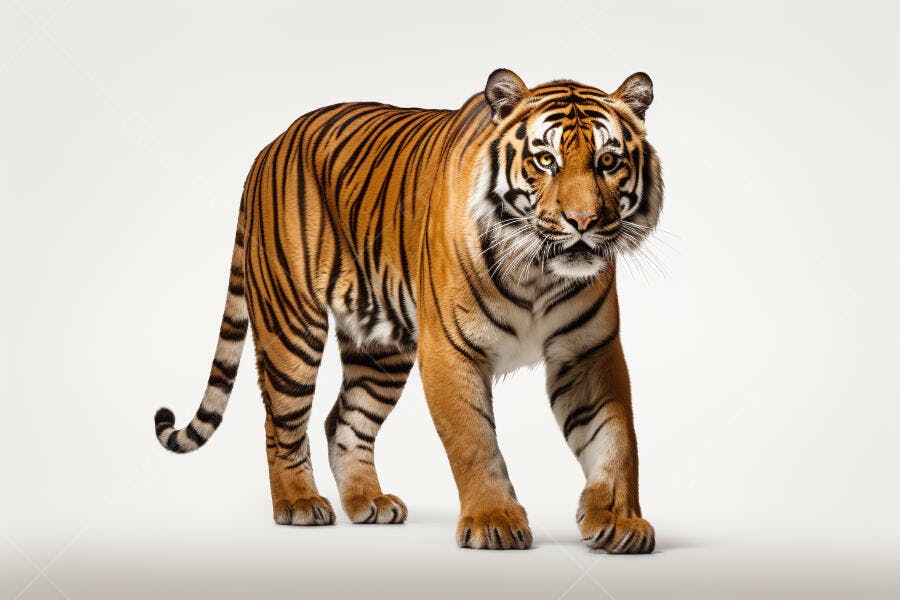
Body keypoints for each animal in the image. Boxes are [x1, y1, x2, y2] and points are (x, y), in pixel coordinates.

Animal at [154, 69, 663, 553]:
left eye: (609, 161)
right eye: (545, 160)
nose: (583, 222)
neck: (538, 274)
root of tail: (269, 147)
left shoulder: (589, 353)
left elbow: (617, 439)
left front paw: (619, 522)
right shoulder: (450, 351)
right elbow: (474, 441)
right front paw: (494, 521)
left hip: (380, 349)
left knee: (345, 420)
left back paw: (368, 502)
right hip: (291, 326)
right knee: (281, 420)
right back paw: (298, 502)